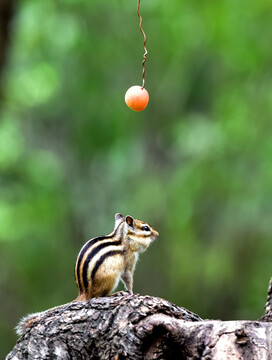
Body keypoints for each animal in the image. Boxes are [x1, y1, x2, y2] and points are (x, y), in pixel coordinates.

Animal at [15, 212, 159, 336]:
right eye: (146, 228)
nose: (157, 234)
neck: (123, 238)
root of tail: (84, 292)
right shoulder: (129, 261)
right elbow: (128, 279)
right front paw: (131, 293)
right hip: (110, 279)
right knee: (98, 296)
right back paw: (115, 294)